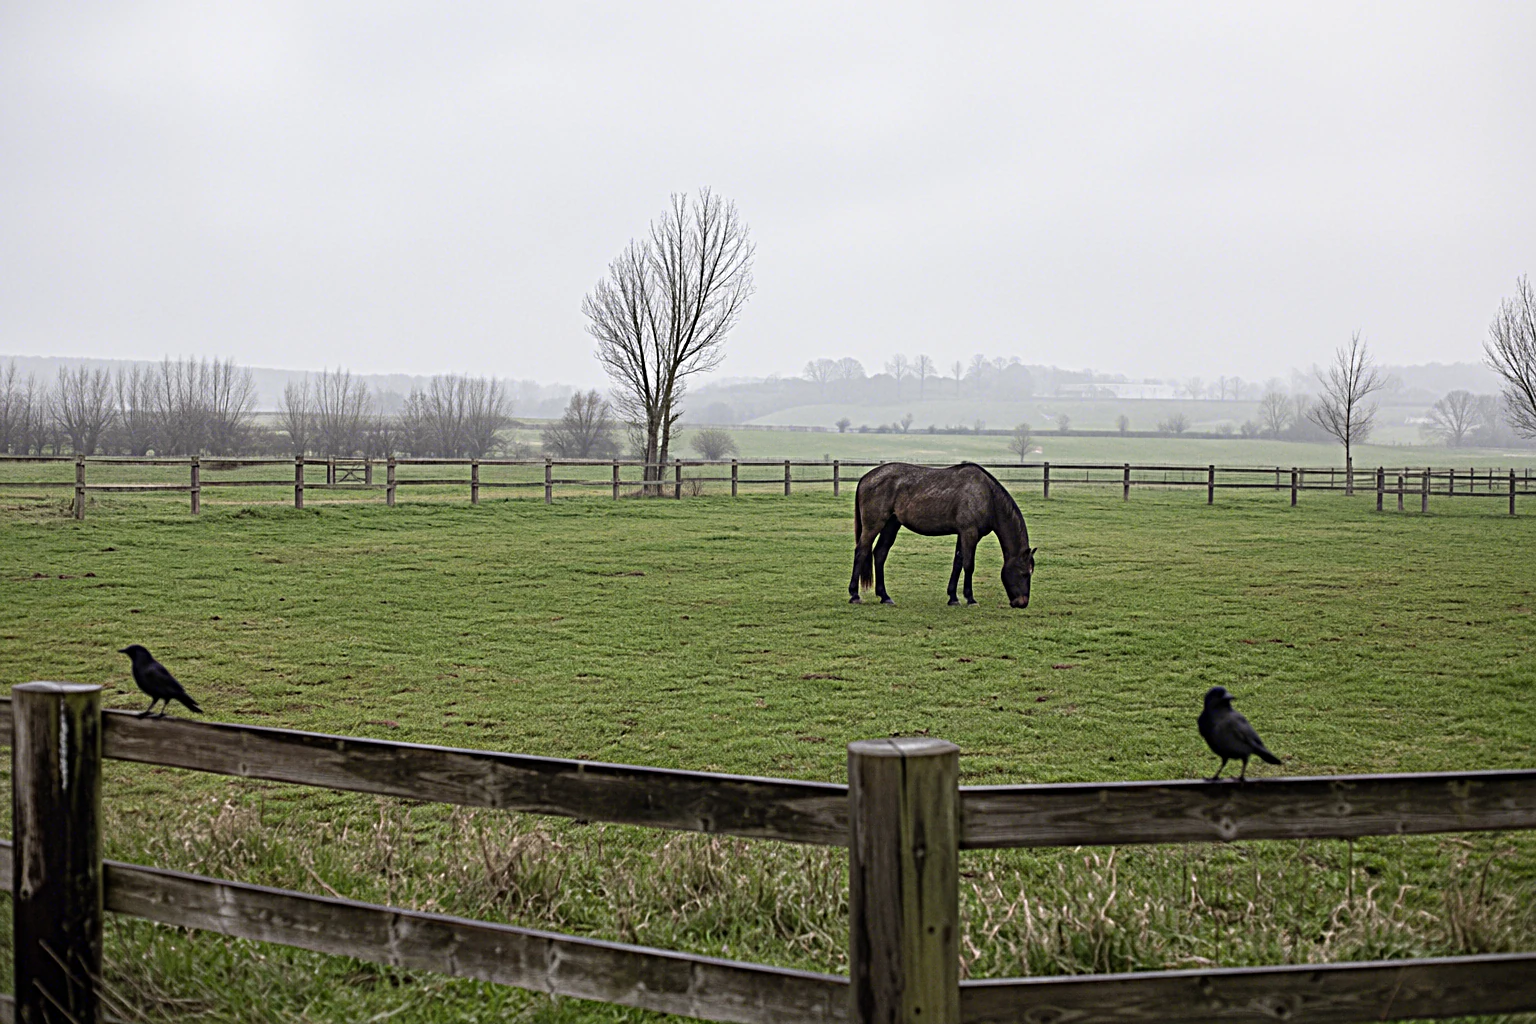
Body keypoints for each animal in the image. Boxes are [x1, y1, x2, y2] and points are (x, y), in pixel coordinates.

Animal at [848, 462, 1036, 607]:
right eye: (1024, 574)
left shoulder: (962, 534)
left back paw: (885, 596)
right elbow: (969, 565)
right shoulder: (969, 533)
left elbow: (958, 562)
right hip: (873, 526)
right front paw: (970, 599)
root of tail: (866, 478)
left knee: (880, 553)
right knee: (861, 552)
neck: (987, 496)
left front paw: (953, 598)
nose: (1022, 603)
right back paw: (854, 595)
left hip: (891, 525)